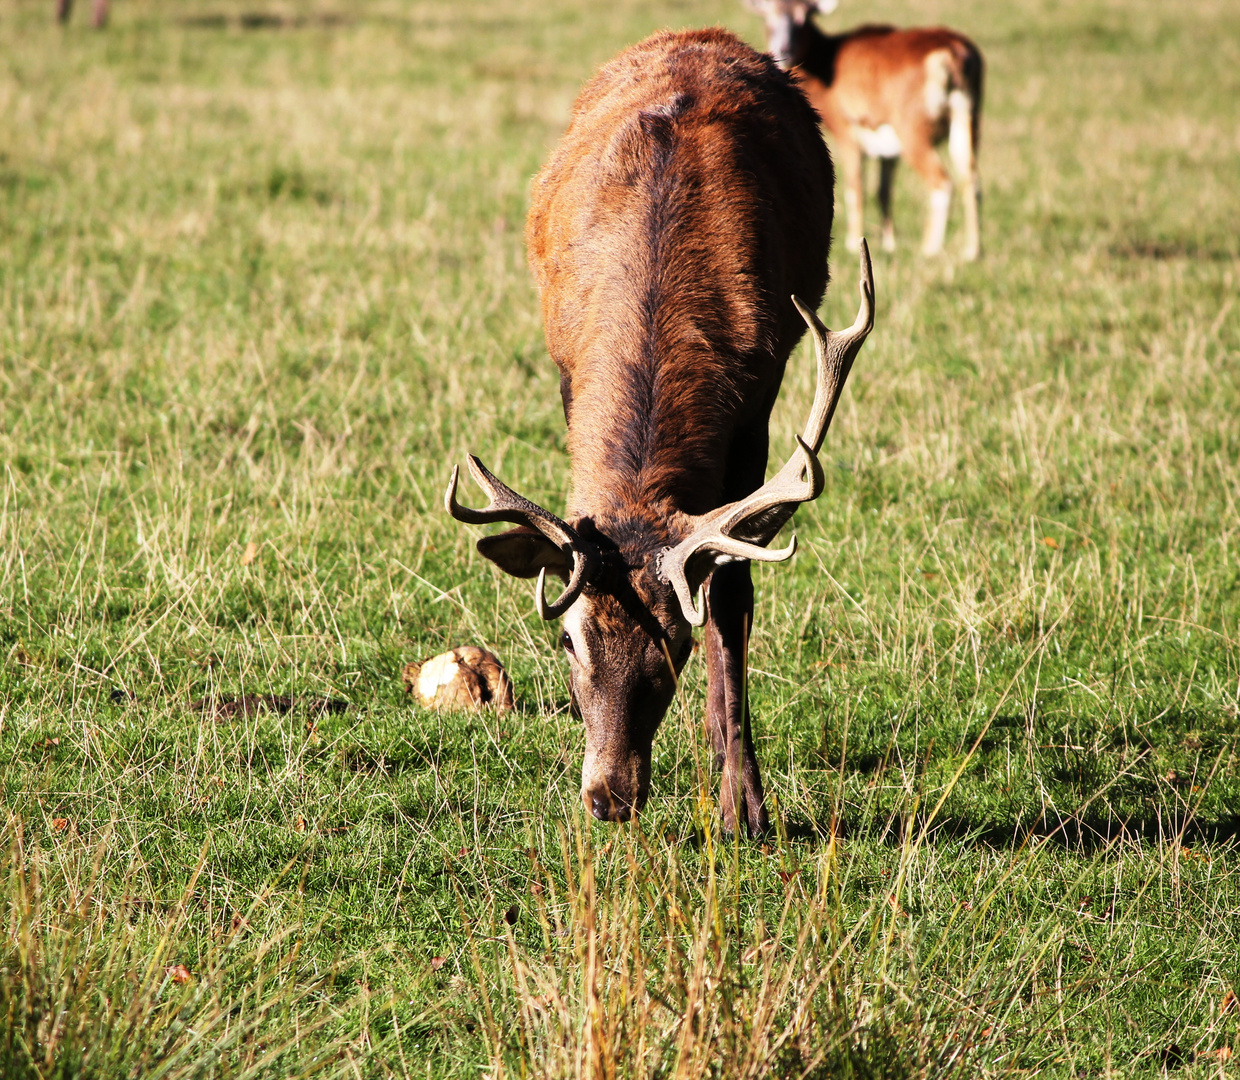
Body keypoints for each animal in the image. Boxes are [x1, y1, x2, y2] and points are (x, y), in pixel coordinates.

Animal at [446, 25, 872, 838]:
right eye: (567, 638)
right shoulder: (567, 368)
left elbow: (732, 597)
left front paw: (744, 806)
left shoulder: (759, 399)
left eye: (674, 642)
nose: (609, 797)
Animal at [744, 0, 987, 260]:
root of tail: (953, 54)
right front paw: (888, 243)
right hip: (968, 117)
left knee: (941, 181)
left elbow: (855, 187)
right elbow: (883, 192)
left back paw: (930, 248)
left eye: (804, 18)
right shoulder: (887, 148)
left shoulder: (847, 131)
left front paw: (852, 243)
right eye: (768, 18)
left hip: (913, 129)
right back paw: (972, 250)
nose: (784, 49)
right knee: (971, 179)